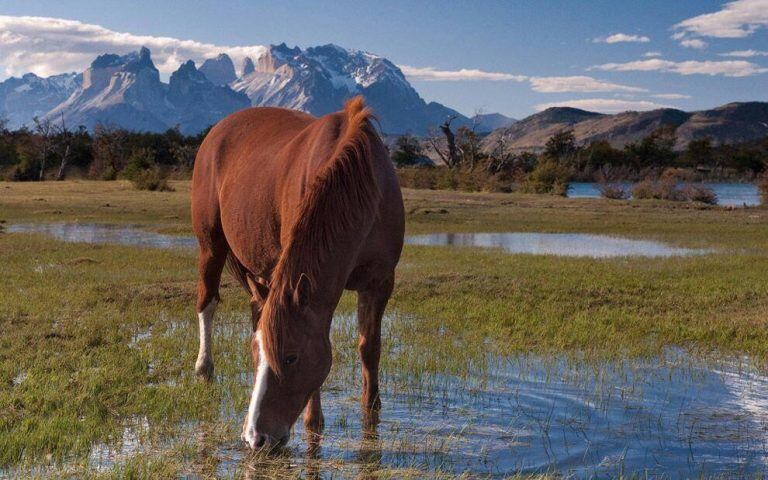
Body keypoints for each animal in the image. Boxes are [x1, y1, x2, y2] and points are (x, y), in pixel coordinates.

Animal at [190, 97, 404, 450]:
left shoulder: (380, 282)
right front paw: (313, 422)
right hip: (211, 244)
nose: (256, 437)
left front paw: (372, 410)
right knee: (207, 302)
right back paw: (204, 369)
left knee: (257, 307)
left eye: (291, 358)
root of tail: (218, 130)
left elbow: (369, 347)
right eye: (258, 355)